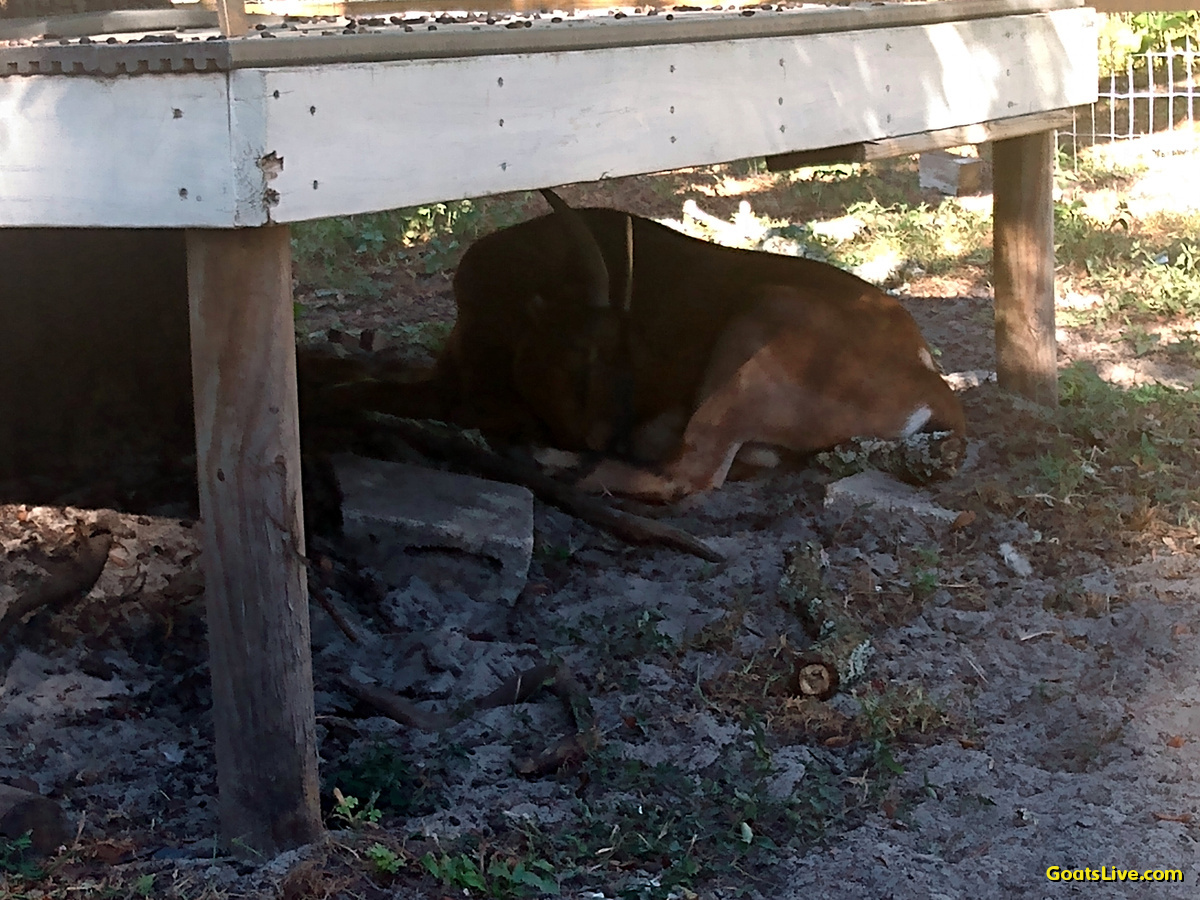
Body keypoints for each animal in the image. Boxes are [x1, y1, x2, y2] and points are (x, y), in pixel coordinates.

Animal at [357, 190, 965, 501]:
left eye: (610, 361)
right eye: (585, 359)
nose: (608, 435)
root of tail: (930, 379)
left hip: (759, 335)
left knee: (690, 473)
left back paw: (546, 460)